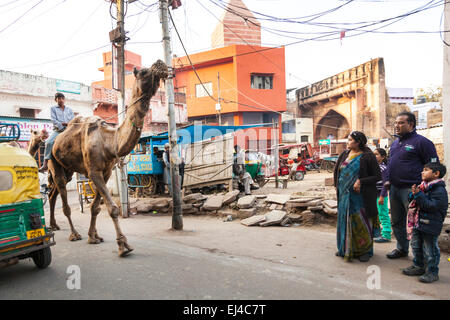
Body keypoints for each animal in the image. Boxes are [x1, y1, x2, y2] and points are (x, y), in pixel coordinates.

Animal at [47, 59, 169, 258]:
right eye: (143, 72)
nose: (160, 63)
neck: (109, 142)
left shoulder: (105, 172)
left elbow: (96, 207)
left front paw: (93, 237)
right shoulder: (94, 172)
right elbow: (112, 208)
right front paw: (123, 245)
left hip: (68, 170)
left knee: (52, 194)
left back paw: (54, 225)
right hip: (54, 163)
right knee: (63, 200)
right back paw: (74, 234)